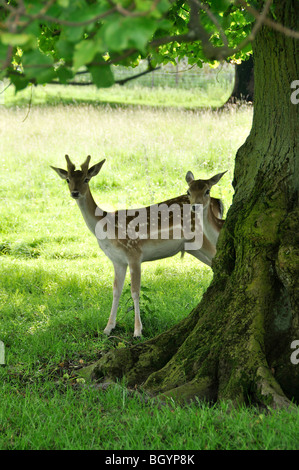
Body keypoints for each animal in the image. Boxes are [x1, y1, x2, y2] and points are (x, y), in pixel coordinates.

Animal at [50, 156, 226, 336]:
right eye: (68, 179)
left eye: (86, 178)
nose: (75, 192)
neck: (106, 227)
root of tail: (217, 203)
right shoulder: (117, 260)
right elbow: (116, 290)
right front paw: (108, 328)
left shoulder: (133, 252)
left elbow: (135, 291)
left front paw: (137, 331)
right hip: (194, 248)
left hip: (204, 240)